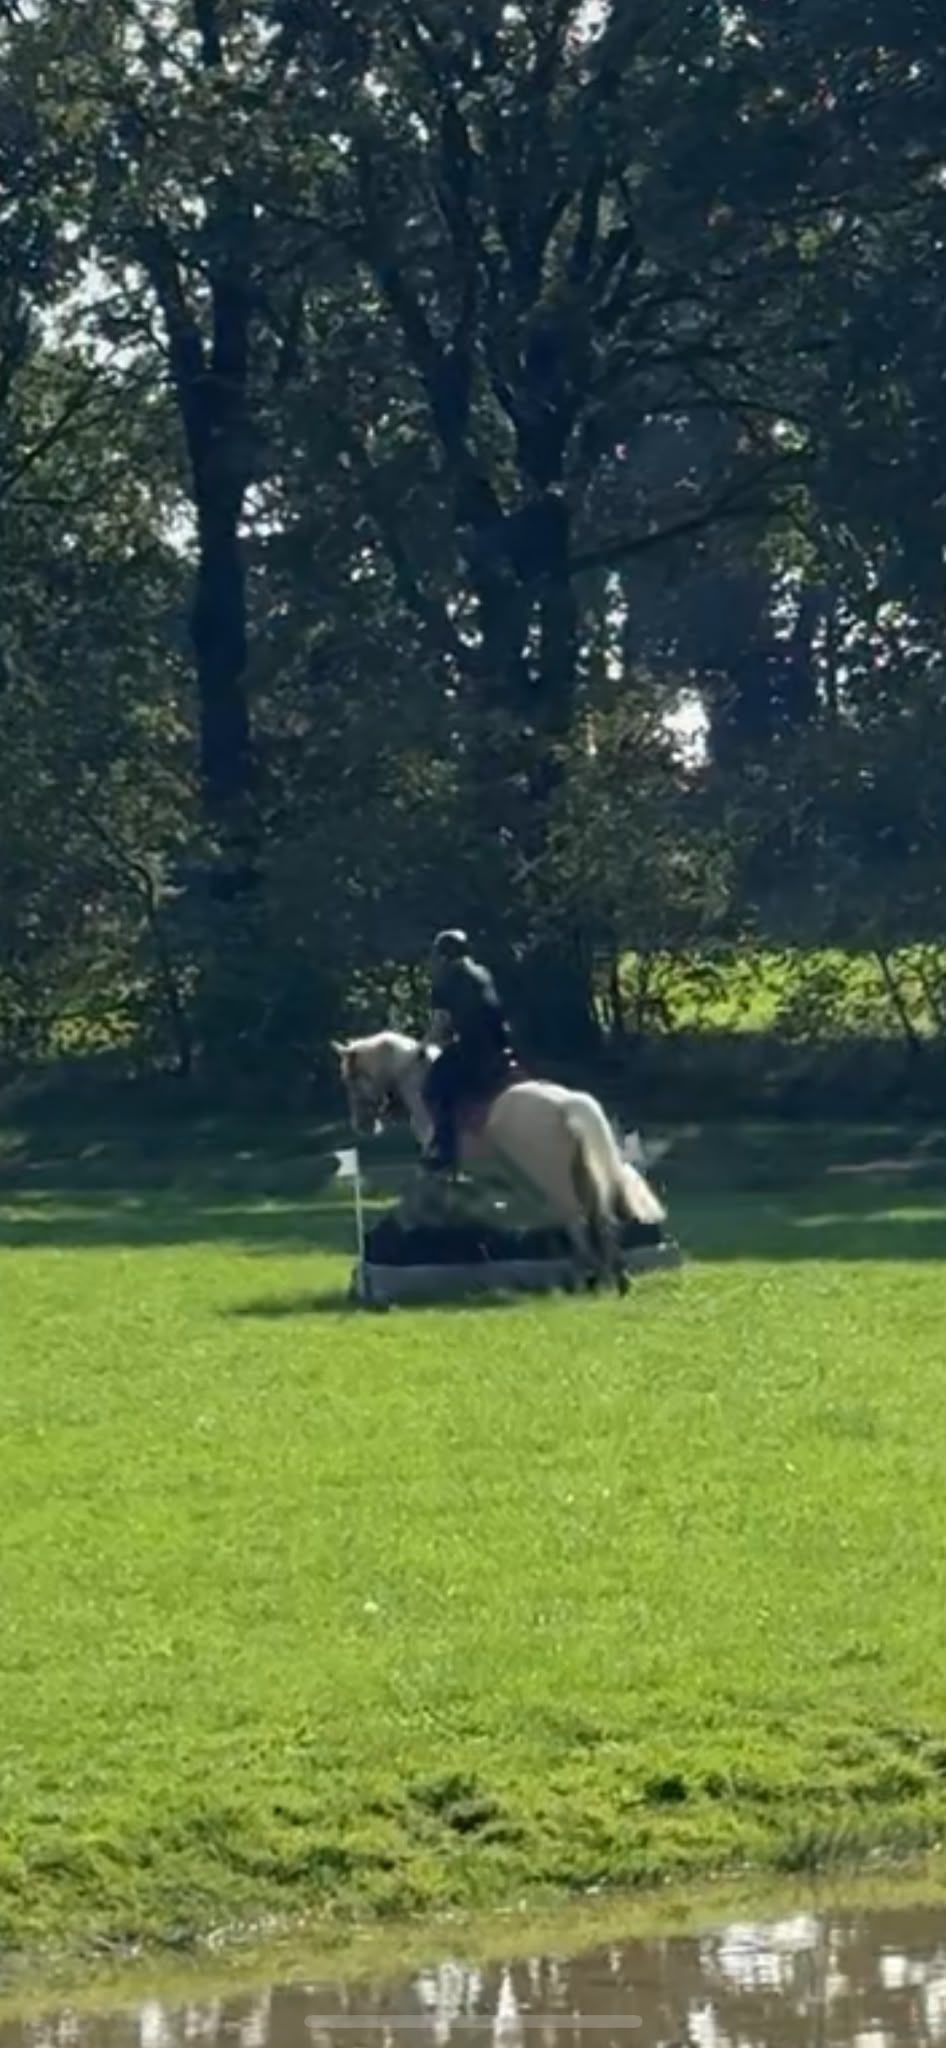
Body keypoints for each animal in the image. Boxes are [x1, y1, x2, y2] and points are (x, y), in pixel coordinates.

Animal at [332, 1030, 666, 1295]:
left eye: (352, 1078)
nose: (362, 1125)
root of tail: (566, 1105)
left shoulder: (440, 1166)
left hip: (554, 1179)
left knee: (576, 1220)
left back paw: (588, 1280)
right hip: (582, 1175)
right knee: (601, 1220)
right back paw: (615, 1279)